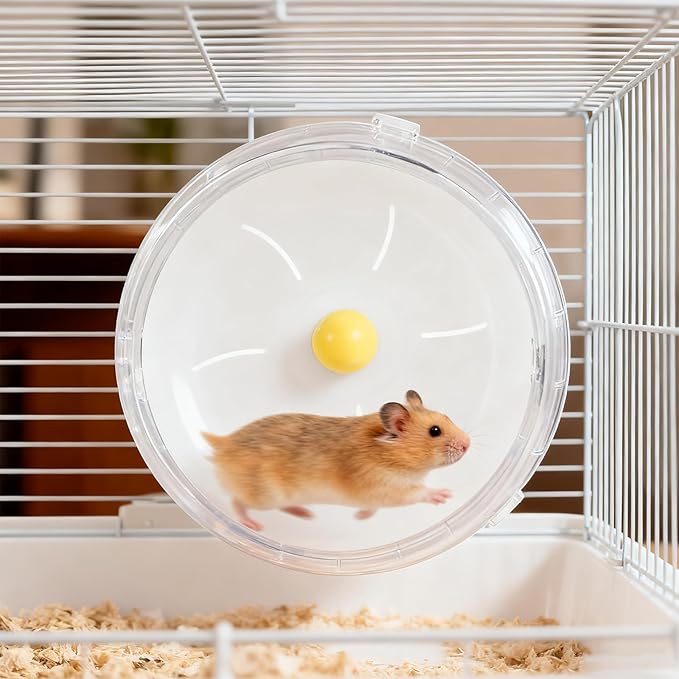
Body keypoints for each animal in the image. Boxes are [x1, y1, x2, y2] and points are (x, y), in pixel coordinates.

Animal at [202, 390, 471, 532]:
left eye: (447, 417)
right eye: (435, 431)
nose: (468, 444)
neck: (390, 454)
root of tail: (222, 444)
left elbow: (373, 509)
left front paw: (360, 518)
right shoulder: (387, 488)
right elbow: (418, 492)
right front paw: (444, 495)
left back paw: (307, 515)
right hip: (264, 495)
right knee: (237, 502)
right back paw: (253, 526)